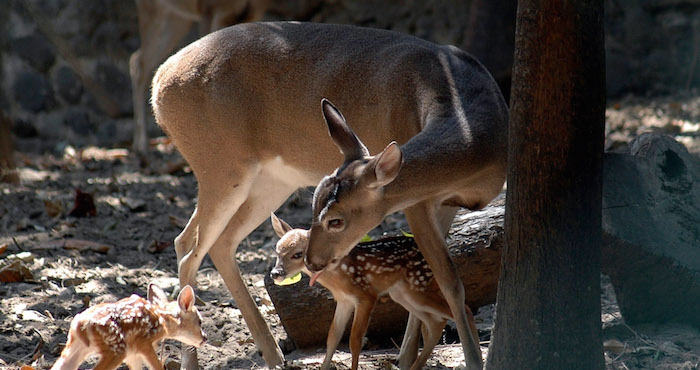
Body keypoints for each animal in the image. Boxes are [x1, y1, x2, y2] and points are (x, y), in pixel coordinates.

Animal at [51, 284, 205, 368]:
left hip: (77, 346)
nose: (205, 338)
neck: (163, 321)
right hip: (116, 349)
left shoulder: (132, 353)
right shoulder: (143, 343)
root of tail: (80, 324)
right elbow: (156, 366)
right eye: (200, 321)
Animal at [129, 0, 268, 155]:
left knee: (138, 59)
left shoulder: (254, 11)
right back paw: (142, 145)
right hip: (154, 12)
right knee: (139, 63)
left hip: (178, 19)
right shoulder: (208, 10)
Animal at [268, 214, 482, 370]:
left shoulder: (365, 295)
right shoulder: (343, 300)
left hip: (418, 287)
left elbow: (355, 340)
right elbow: (332, 338)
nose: (275, 273)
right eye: (277, 251)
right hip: (403, 294)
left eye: (298, 254)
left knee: (459, 310)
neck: (337, 276)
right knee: (437, 321)